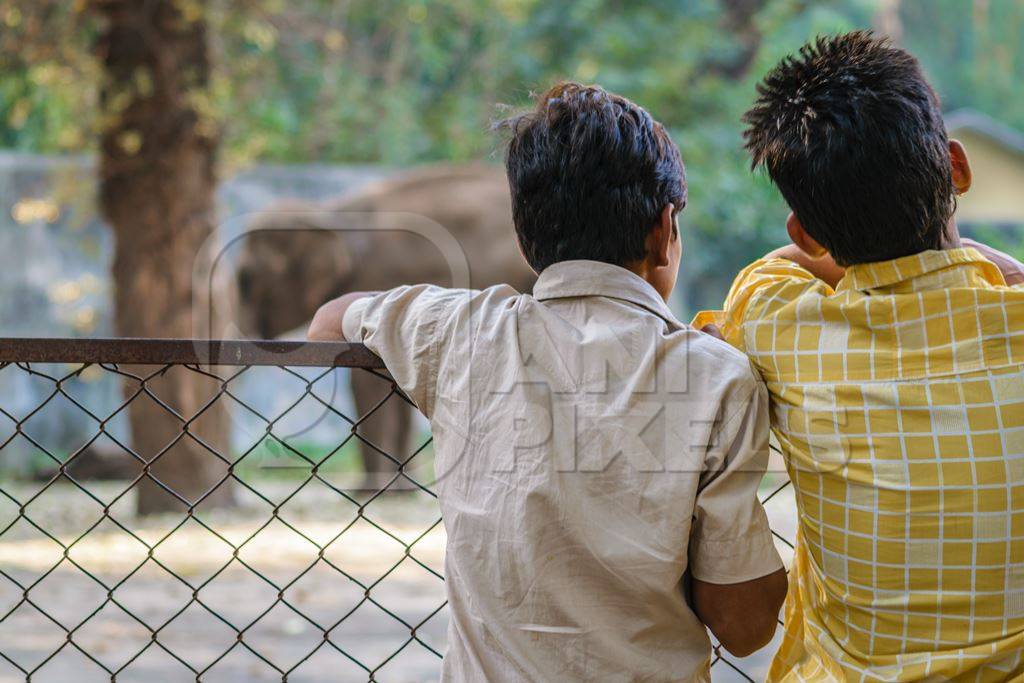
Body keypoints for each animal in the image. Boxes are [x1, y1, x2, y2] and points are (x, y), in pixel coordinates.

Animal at [232, 162, 536, 489]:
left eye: (246, 279)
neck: (330, 212)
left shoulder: (377, 273)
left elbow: (363, 380)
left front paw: (369, 490)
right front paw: (399, 489)